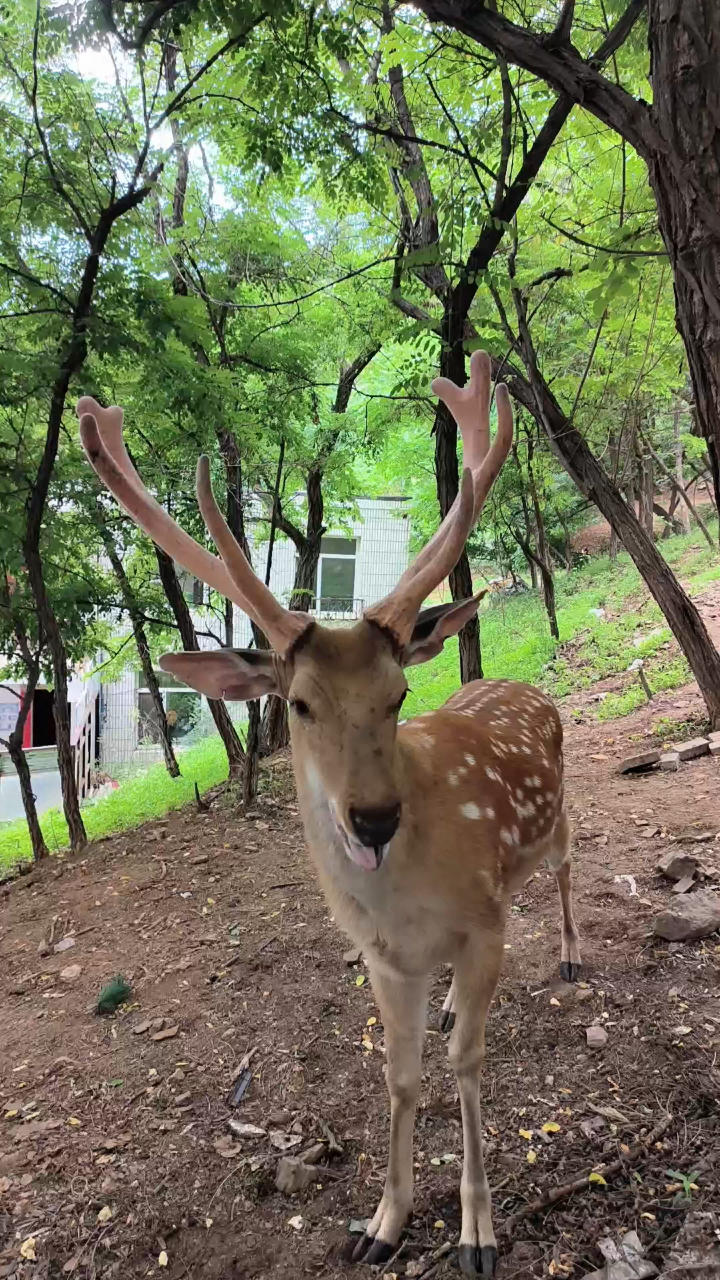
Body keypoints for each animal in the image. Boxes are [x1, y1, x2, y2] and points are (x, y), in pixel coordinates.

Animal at [76, 351, 580, 1278]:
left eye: (400, 693)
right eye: (300, 703)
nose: (374, 818)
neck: (406, 902)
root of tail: (521, 683)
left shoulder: (480, 922)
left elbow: (468, 1063)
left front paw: (478, 1233)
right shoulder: (382, 959)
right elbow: (401, 1076)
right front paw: (382, 1223)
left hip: (559, 814)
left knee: (564, 866)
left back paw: (568, 956)